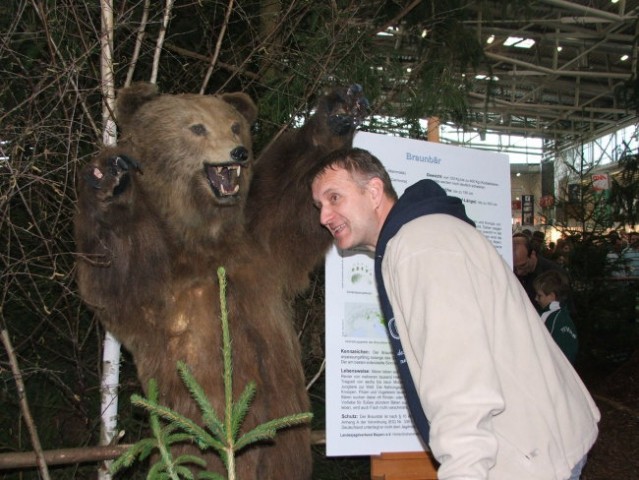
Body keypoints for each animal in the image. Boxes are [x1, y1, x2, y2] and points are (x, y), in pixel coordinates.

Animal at [73, 82, 368, 476]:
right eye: (196, 127)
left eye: (234, 125)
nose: (238, 153)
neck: (204, 234)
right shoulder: (154, 276)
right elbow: (114, 267)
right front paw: (110, 179)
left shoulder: (259, 240)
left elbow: (294, 200)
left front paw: (339, 111)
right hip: (194, 433)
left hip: (284, 440)